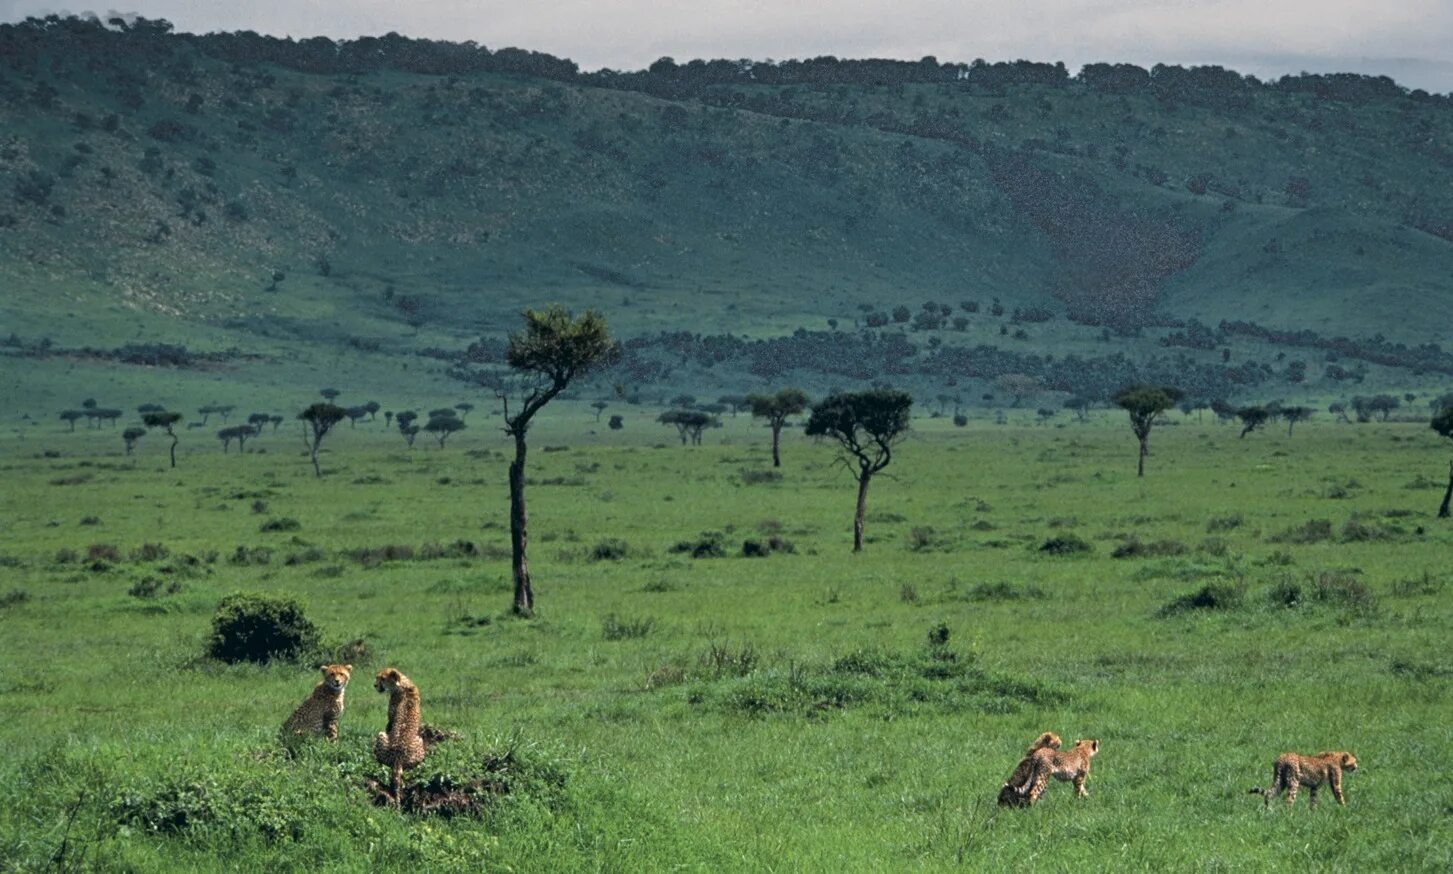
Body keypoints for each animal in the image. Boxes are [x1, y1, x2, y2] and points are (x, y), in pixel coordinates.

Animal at [369, 664, 424, 801]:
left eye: (382, 678)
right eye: (377, 677)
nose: (375, 685)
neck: (402, 683)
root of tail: (398, 758)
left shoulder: (390, 719)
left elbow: (389, 725)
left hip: (383, 735)